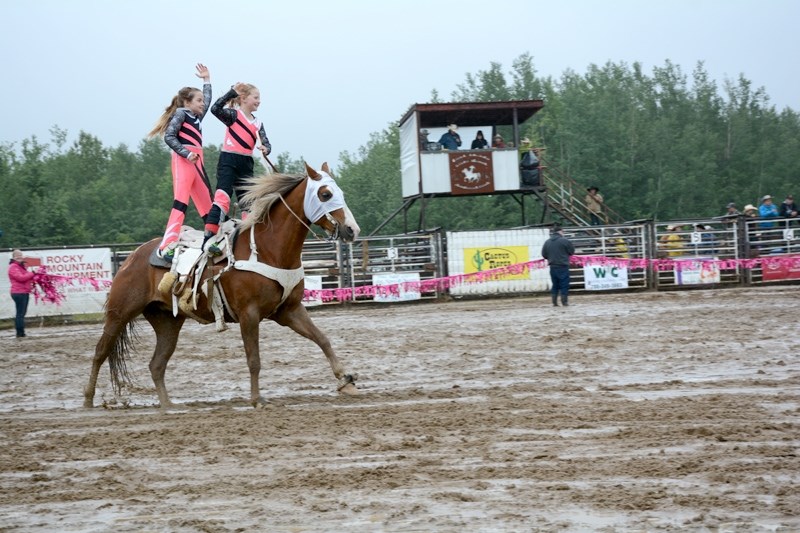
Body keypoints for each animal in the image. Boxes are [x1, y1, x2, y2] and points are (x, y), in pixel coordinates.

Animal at [84, 162, 360, 408]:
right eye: (325, 194)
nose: (352, 229)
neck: (268, 249)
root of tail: (132, 256)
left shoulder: (289, 311)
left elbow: (322, 339)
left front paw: (346, 380)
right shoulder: (249, 314)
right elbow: (254, 359)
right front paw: (257, 399)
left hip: (167, 322)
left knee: (156, 364)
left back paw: (168, 405)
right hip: (120, 312)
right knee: (100, 351)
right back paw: (88, 400)